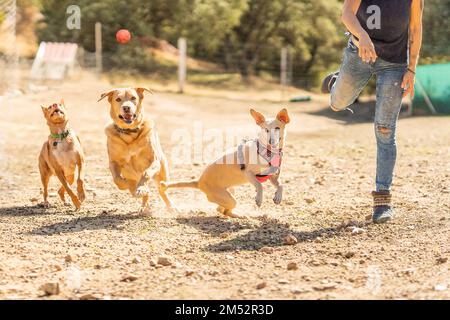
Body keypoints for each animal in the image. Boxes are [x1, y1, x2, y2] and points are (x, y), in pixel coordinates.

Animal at [97, 86, 173, 214]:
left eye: (133, 98)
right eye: (118, 99)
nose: (126, 107)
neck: (129, 133)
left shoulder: (154, 161)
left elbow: (146, 174)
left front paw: (140, 188)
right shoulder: (113, 162)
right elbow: (117, 180)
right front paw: (130, 187)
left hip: (162, 174)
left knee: (162, 190)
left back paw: (171, 207)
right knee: (145, 192)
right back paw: (143, 204)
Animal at [162, 107, 292, 218]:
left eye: (277, 128)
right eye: (266, 130)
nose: (271, 141)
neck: (268, 151)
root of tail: (199, 182)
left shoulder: (273, 177)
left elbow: (281, 185)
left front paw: (278, 197)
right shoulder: (248, 173)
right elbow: (259, 185)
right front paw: (259, 198)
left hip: (230, 192)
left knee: (221, 210)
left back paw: (239, 215)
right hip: (228, 198)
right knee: (223, 209)